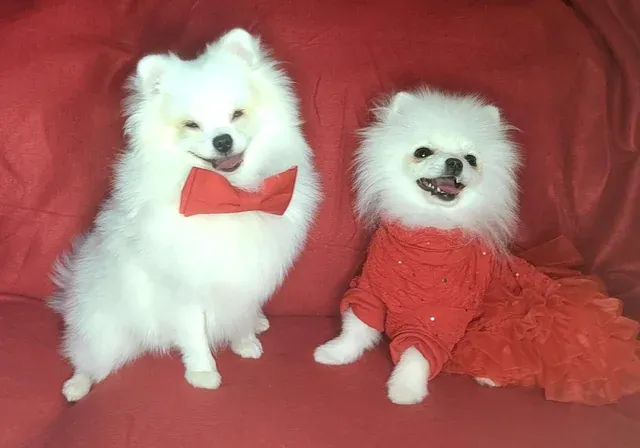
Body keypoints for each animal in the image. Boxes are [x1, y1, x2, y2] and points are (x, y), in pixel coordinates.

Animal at [51, 28, 320, 402]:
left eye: (237, 114)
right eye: (191, 125)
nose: (222, 140)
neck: (230, 196)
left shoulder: (249, 274)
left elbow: (241, 311)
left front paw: (245, 341)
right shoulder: (183, 287)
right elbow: (194, 333)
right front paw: (203, 372)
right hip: (107, 334)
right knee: (88, 356)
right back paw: (76, 385)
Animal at [314, 87, 519, 405]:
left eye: (471, 158)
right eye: (422, 152)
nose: (455, 162)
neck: (429, 230)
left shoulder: (437, 318)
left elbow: (416, 354)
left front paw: (405, 390)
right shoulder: (370, 289)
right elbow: (356, 326)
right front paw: (336, 353)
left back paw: (490, 375)